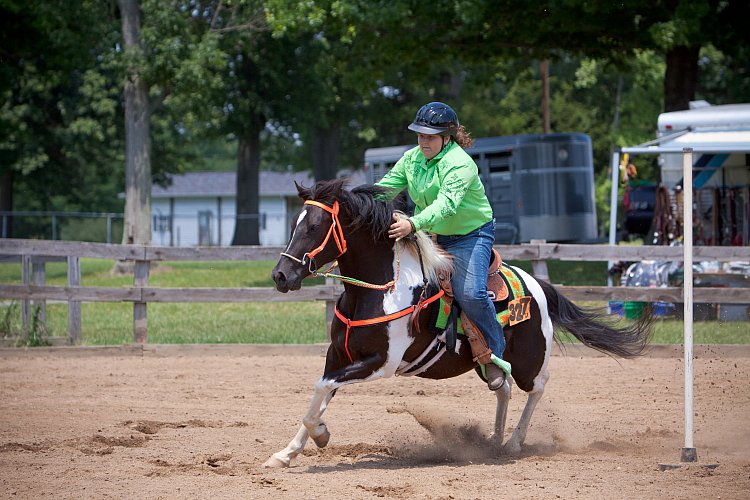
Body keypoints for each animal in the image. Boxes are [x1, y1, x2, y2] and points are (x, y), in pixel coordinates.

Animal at [264, 179, 652, 468]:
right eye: (294, 224)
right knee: (503, 387)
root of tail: (537, 284)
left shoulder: (381, 363)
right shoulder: (339, 355)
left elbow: (322, 388)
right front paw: (287, 452)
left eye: (314, 226)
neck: (381, 288)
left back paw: (513, 443)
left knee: (536, 387)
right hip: (486, 363)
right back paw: (493, 440)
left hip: (530, 359)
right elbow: (321, 392)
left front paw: (319, 435)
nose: (281, 275)